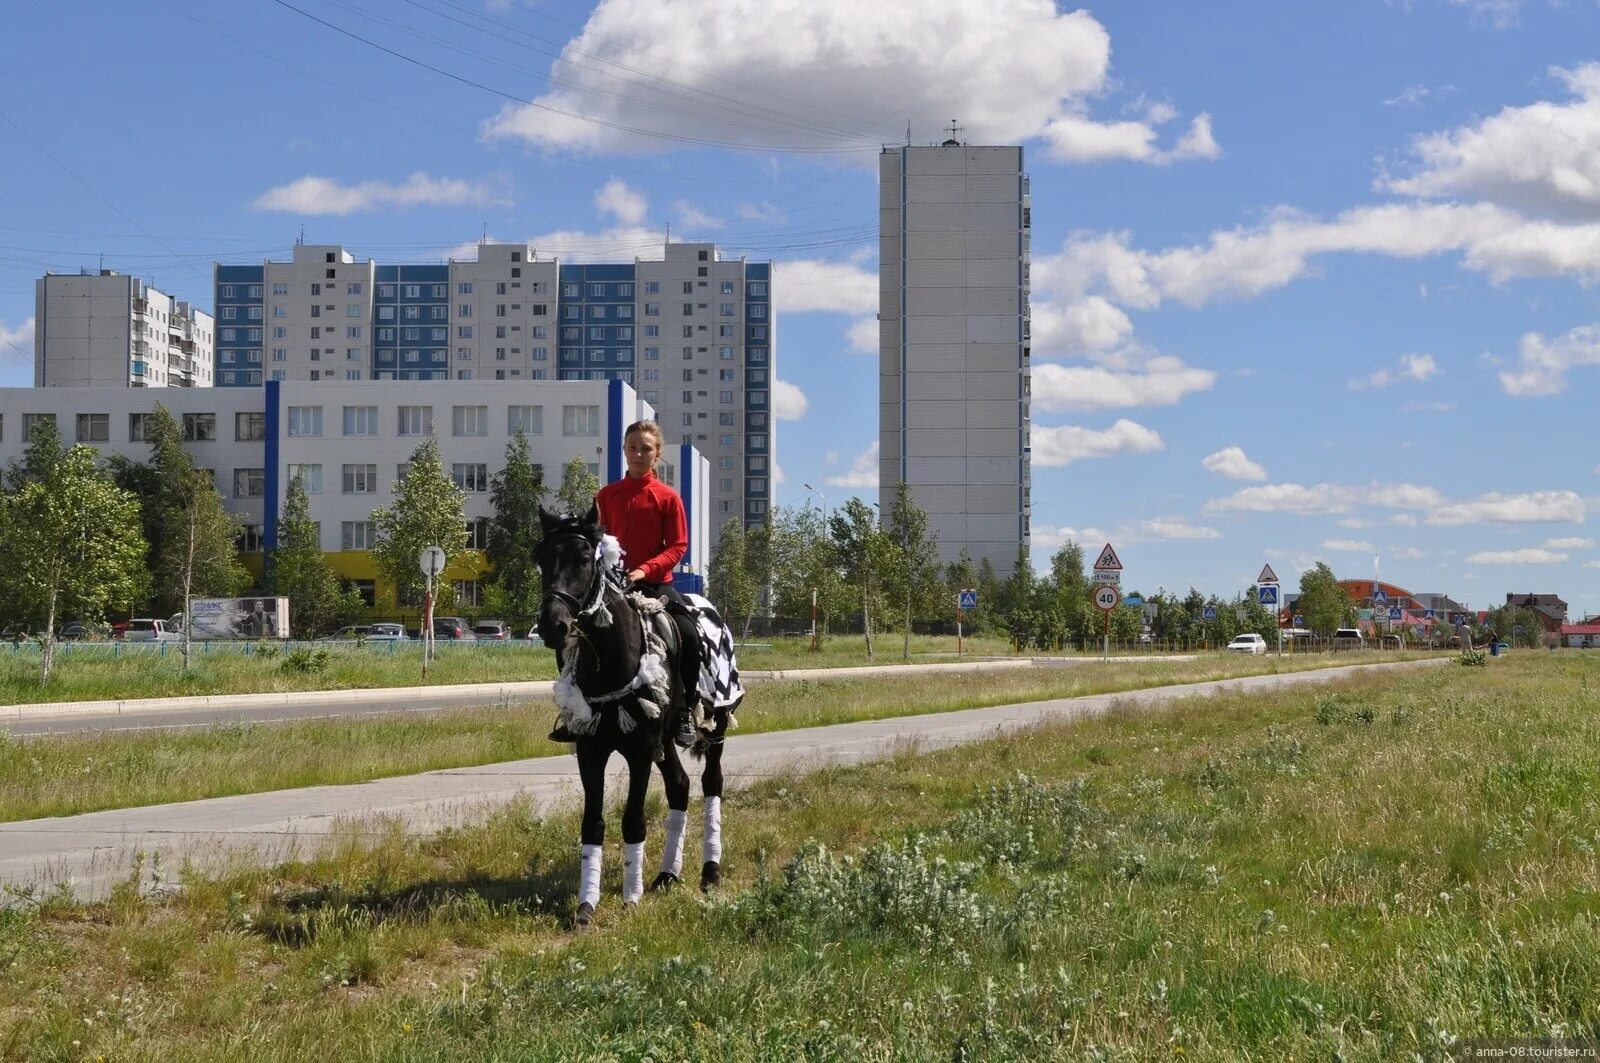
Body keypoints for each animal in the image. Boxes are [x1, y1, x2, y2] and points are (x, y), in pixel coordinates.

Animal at [540, 505, 732, 928]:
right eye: (541, 559)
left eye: (584, 559)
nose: (552, 625)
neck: (610, 659)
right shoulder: (590, 752)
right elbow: (593, 823)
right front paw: (586, 905)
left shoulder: (641, 751)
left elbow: (633, 819)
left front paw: (631, 897)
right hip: (666, 742)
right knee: (679, 785)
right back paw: (667, 874)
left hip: (715, 728)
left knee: (711, 783)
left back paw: (709, 871)